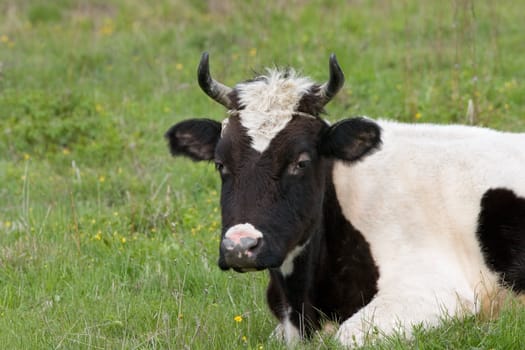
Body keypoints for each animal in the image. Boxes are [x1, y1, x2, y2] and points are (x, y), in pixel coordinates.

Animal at [165, 52, 524, 348]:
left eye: (301, 162)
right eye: (220, 164)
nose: (240, 246)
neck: (304, 299)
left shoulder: (438, 289)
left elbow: (347, 336)